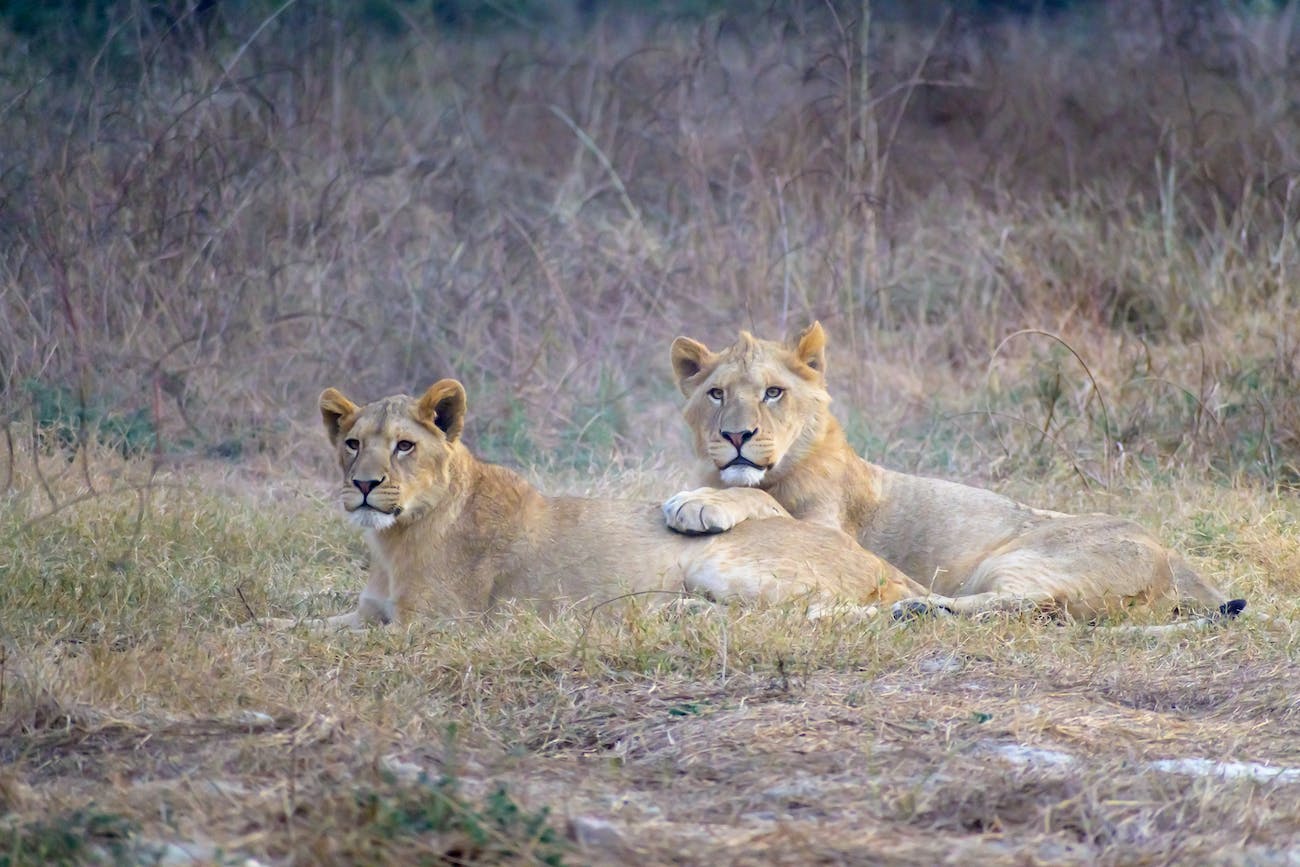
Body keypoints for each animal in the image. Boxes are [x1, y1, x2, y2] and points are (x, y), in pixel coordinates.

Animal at [256, 376, 925, 626]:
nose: (364, 485)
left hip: (721, 561)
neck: (391, 540)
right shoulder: (370, 611)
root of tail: (880, 563)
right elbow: (298, 627)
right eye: (352, 444)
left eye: (403, 447)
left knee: (798, 616)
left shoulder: (437, 626)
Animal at [665, 322, 1242, 626]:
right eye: (716, 393)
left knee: (1027, 602)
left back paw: (915, 606)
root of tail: (1176, 560)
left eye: (773, 392)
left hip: (1020, 556)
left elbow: (765, 503)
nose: (736, 436)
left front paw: (696, 503)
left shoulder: (830, 532)